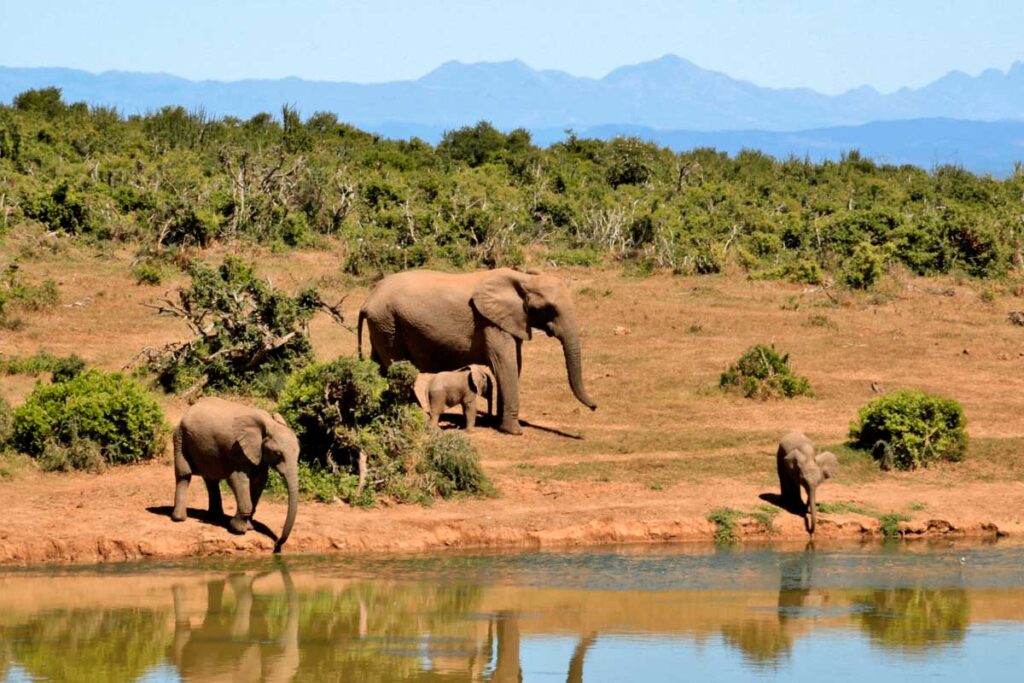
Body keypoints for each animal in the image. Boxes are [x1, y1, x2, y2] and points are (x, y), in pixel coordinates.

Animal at [172, 397, 299, 552]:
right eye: (277, 454)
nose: (277, 546)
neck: (268, 424)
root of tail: (188, 409)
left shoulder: (257, 453)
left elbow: (259, 481)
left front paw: (249, 527)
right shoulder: (238, 449)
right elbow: (237, 479)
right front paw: (238, 530)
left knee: (211, 479)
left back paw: (214, 518)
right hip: (180, 437)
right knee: (184, 475)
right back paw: (179, 519)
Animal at [360, 266, 598, 432]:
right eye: (548, 308)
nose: (595, 407)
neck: (522, 279)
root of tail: (368, 299)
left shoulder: (510, 321)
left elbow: (514, 364)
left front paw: (500, 424)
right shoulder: (489, 322)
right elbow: (505, 364)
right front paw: (513, 431)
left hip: (382, 326)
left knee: (380, 366)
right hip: (388, 323)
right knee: (397, 369)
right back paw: (416, 415)